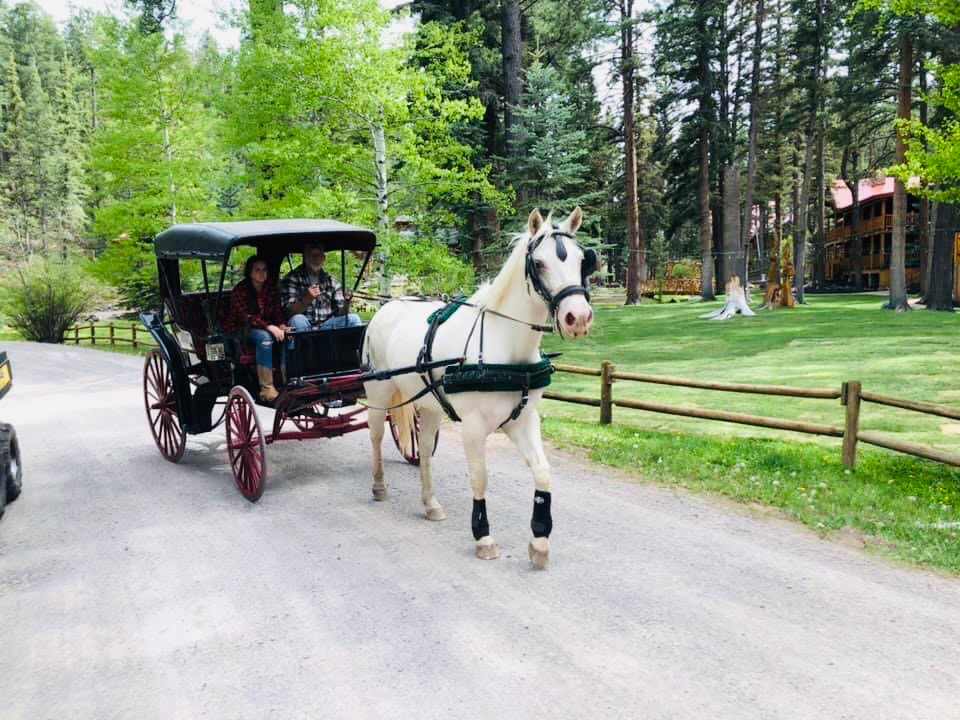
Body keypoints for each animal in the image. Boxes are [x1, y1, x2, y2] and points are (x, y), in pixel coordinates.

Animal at [362, 207, 595, 568]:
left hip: (429, 405)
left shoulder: (523, 419)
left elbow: (543, 472)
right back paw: (379, 485)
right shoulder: (473, 426)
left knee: (424, 449)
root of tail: (388, 306)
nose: (578, 318)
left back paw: (430, 503)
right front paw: (483, 536)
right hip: (379, 392)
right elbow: (480, 477)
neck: (505, 344)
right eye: (539, 263)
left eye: (583, 260)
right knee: (375, 434)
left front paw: (540, 541)